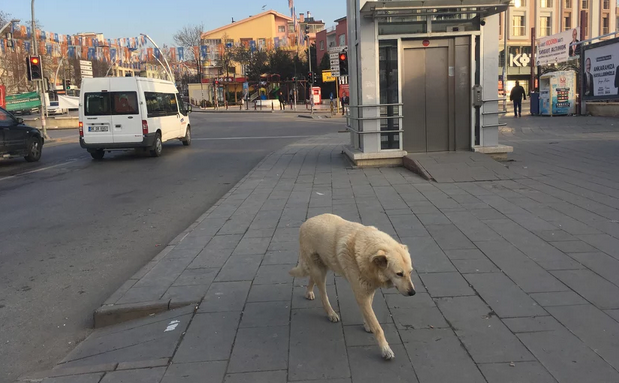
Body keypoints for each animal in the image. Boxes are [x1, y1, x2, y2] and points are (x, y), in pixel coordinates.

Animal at [290, 213, 416, 360]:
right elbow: (377, 327)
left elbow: (369, 313)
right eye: (399, 274)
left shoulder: (369, 290)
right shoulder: (361, 294)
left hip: (322, 266)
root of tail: (306, 222)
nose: (413, 292)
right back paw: (331, 313)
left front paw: (367, 324)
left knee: (311, 278)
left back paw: (309, 292)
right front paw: (385, 349)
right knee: (323, 295)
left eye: (410, 272)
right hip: (319, 272)